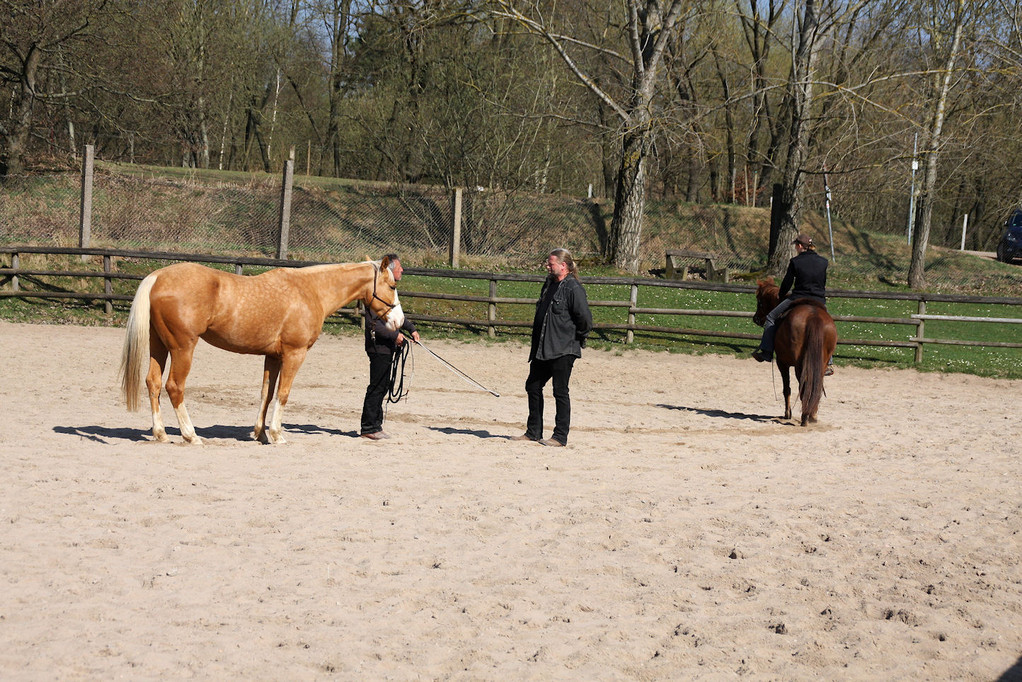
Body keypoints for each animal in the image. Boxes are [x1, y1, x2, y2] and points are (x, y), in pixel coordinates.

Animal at [117, 255, 404, 443]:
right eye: (392, 286)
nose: (399, 322)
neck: (310, 291)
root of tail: (158, 277)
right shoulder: (294, 354)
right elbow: (284, 394)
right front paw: (277, 435)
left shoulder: (273, 357)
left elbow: (266, 394)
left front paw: (261, 433)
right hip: (182, 348)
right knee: (174, 386)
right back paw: (191, 435)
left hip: (159, 345)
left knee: (153, 383)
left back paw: (161, 433)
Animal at [752, 278, 838, 427]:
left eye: (759, 301)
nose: (756, 318)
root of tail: (813, 316)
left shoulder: (782, 363)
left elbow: (786, 388)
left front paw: (787, 413)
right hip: (821, 363)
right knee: (816, 386)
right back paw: (812, 415)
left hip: (799, 365)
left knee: (804, 387)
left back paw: (805, 417)